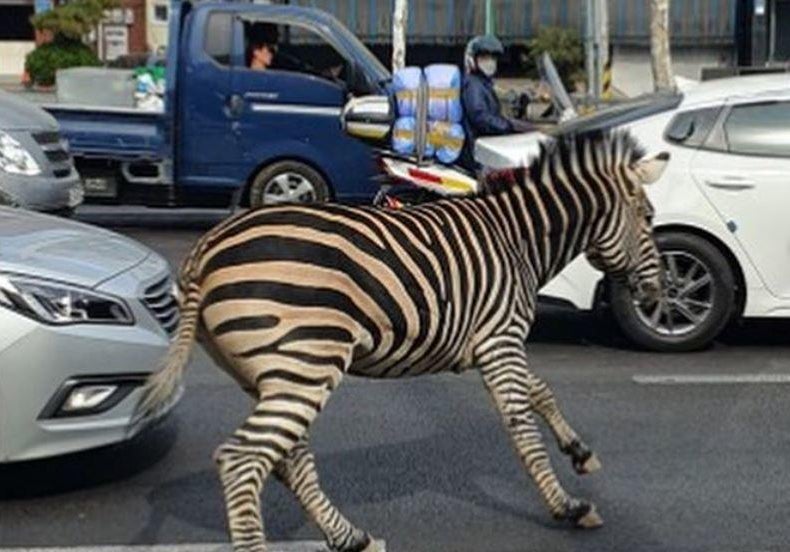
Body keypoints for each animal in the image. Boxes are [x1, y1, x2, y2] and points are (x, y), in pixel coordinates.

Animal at [135, 130, 668, 552]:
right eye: (647, 217)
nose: (659, 293)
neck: (518, 239)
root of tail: (204, 252)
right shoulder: (501, 338)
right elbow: (522, 426)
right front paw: (569, 507)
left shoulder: (496, 342)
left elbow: (542, 392)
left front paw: (579, 453)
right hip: (306, 362)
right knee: (243, 460)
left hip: (274, 371)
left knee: (289, 458)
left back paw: (351, 537)